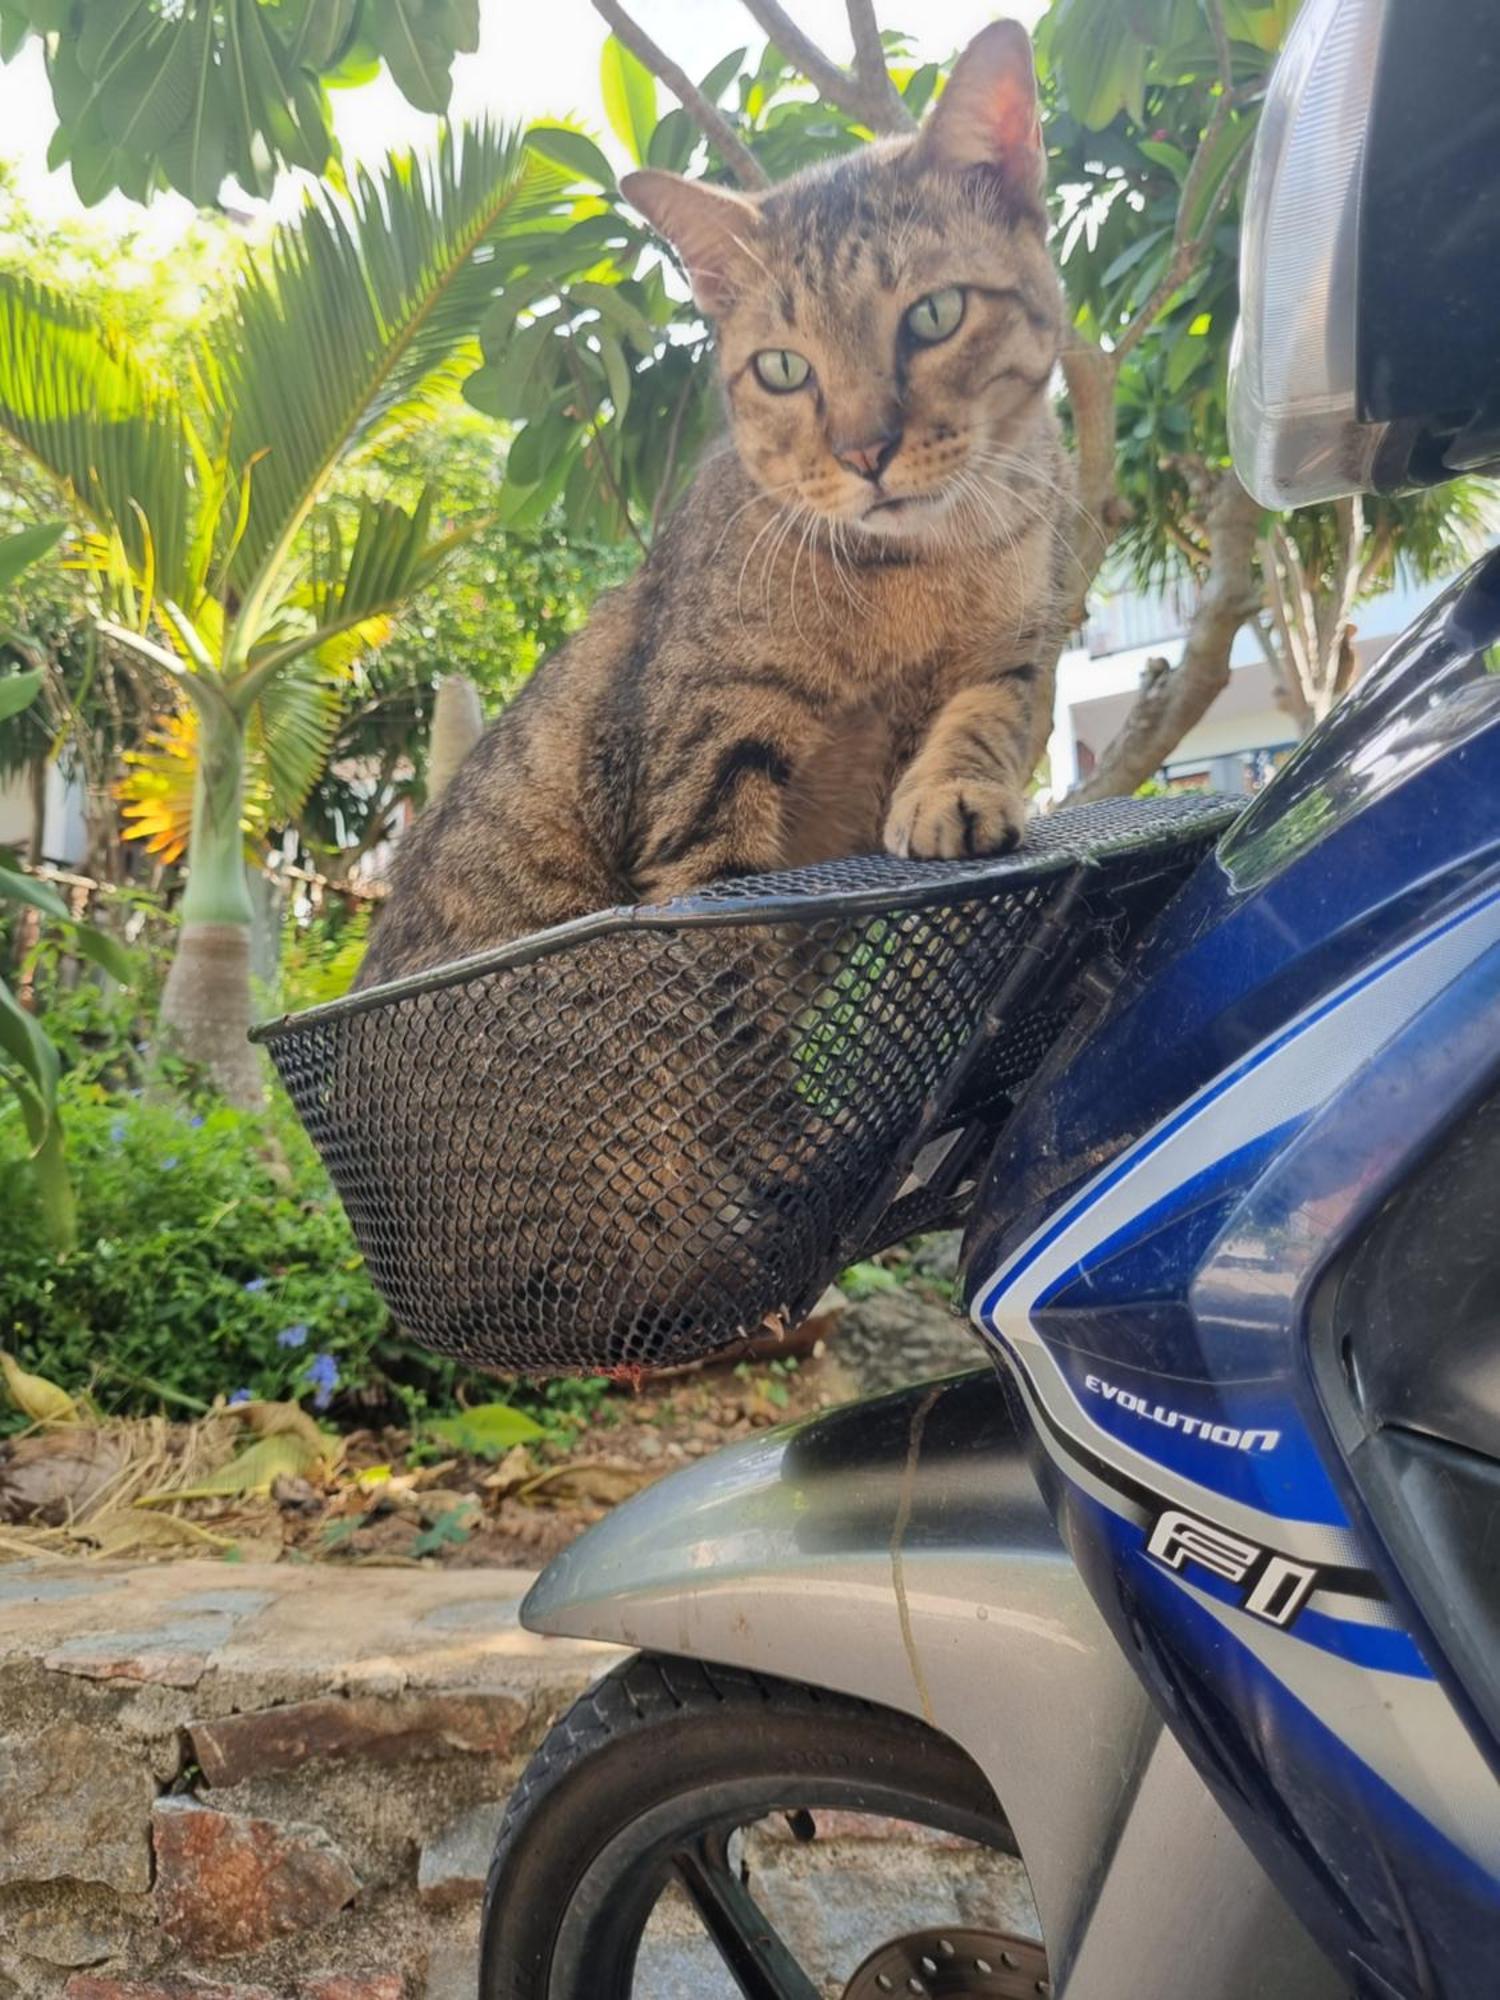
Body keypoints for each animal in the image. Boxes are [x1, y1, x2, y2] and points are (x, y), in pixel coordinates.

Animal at [358, 15, 1072, 984]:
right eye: (783, 368)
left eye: (935, 315)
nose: (865, 452)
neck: (915, 569)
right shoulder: (705, 778)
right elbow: (715, 963)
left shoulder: (1012, 646)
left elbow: (989, 711)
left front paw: (953, 788)